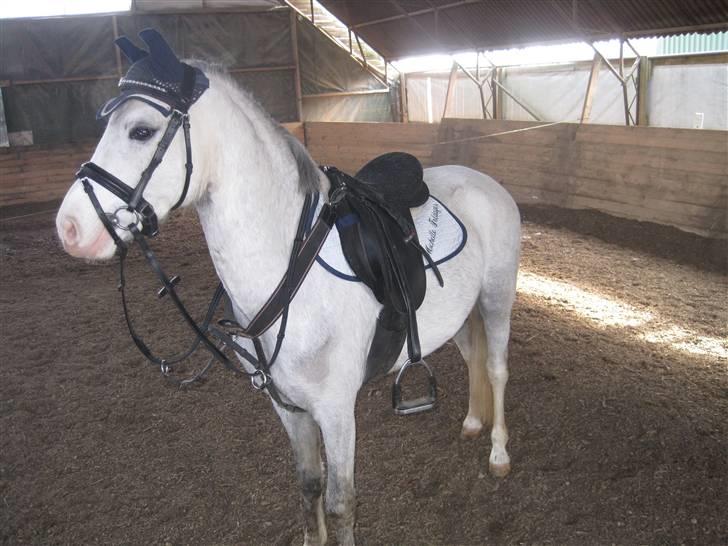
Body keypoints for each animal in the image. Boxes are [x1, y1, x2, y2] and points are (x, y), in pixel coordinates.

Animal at [55, 44, 520, 545]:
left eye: (141, 131)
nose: (69, 228)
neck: (290, 271)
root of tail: (485, 181)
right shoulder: (288, 407)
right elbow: (309, 486)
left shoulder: (336, 411)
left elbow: (340, 504)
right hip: (459, 316)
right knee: (472, 358)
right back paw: (472, 423)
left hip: (496, 300)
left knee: (495, 369)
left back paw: (498, 453)